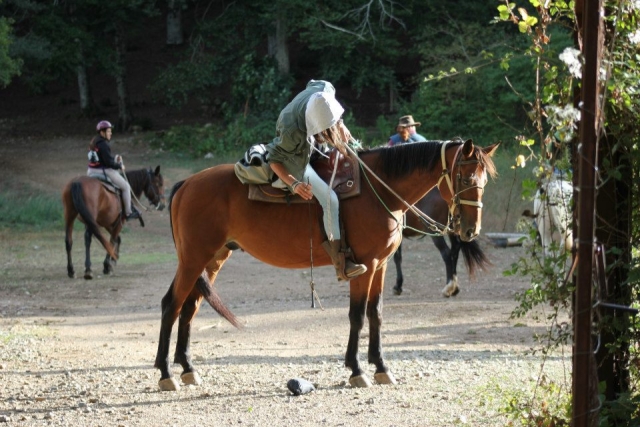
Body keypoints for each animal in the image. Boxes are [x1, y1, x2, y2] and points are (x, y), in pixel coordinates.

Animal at [154, 139, 498, 391]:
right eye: (465, 177)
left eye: (484, 180)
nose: (471, 230)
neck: (380, 190)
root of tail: (186, 183)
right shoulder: (364, 266)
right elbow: (357, 316)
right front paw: (357, 370)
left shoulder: (381, 266)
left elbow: (376, 314)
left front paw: (381, 366)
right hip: (193, 259)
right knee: (171, 305)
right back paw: (166, 374)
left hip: (212, 259)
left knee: (190, 307)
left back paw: (187, 368)